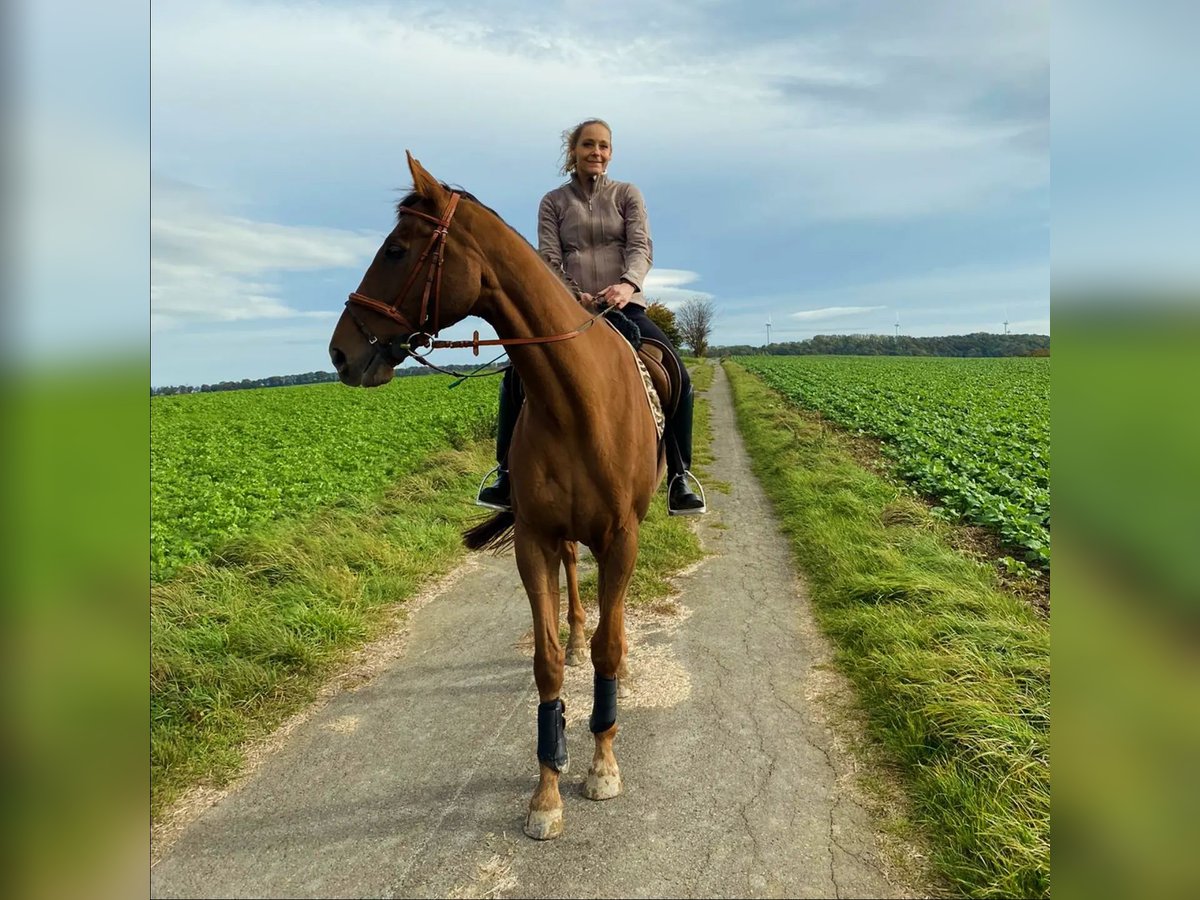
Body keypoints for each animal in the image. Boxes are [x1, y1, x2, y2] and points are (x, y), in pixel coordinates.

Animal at [328, 153, 667, 840]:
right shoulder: (533, 538)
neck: (576, 398)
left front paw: (603, 764)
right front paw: (547, 790)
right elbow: (547, 662)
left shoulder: (622, 538)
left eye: (397, 249)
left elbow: (612, 645)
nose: (340, 352)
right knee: (571, 580)